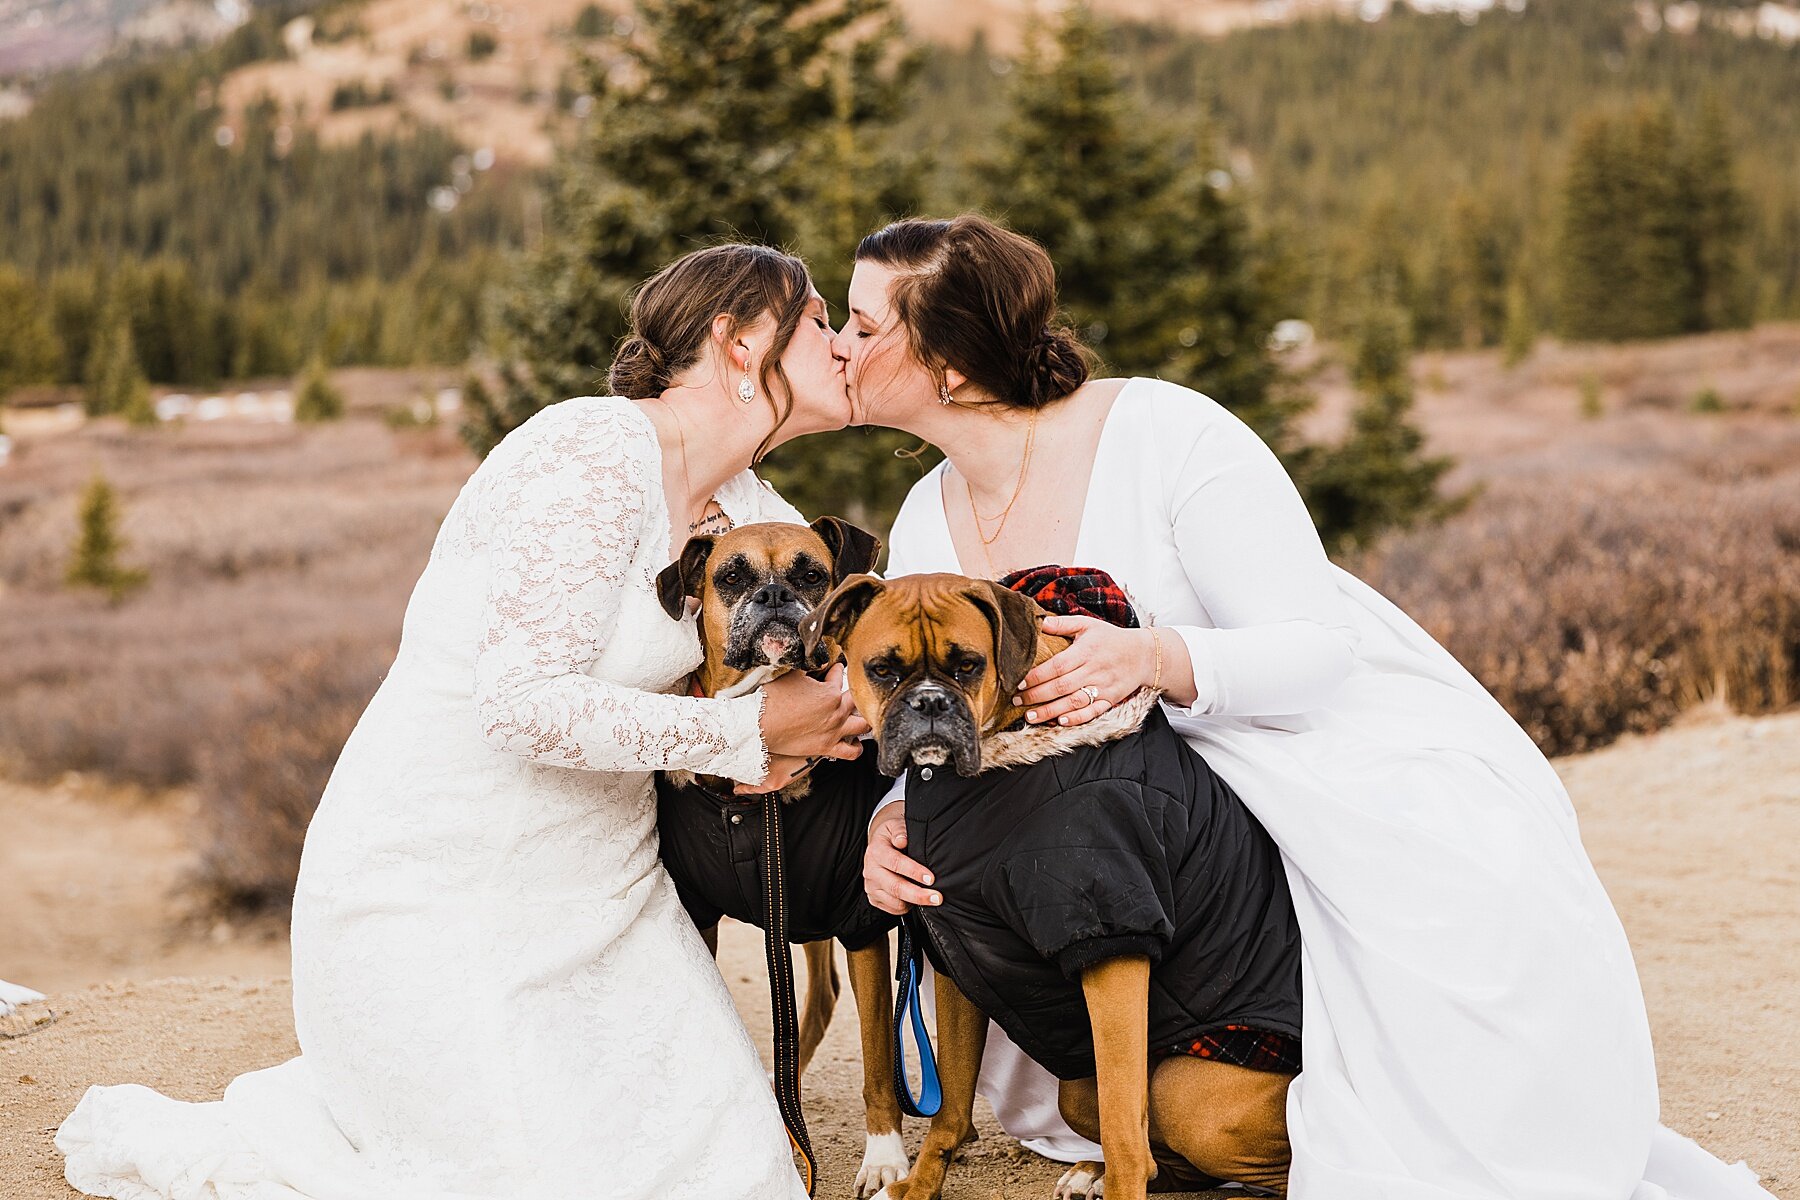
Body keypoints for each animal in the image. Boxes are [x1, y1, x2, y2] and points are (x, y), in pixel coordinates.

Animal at [655, 518, 914, 1200]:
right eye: (732, 576)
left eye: (810, 574)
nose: (773, 596)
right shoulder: (702, 918)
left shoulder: (861, 925)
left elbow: (877, 1058)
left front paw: (885, 1159)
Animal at [799, 575, 1296, 1200]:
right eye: (883, 670)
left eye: (968, 666)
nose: (931, 703)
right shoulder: (957, 946)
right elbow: (951, 1104)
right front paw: (918, 1185)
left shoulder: (1110, 945)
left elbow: (1124, 1131)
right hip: (1078, 1089)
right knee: (1157, 1154)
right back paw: (1091, 1172)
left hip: (1195, 1098)